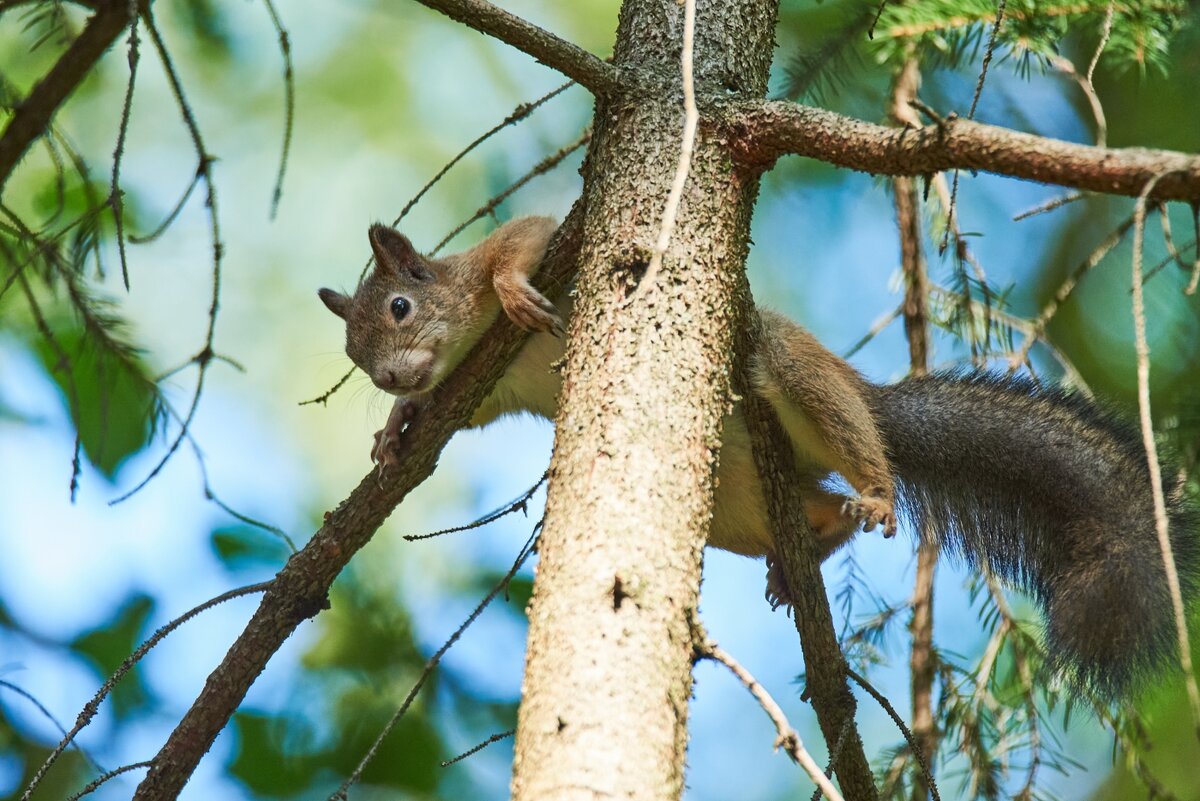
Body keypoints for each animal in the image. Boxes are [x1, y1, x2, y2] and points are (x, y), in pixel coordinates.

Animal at [319, 215, 1200, 695]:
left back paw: (877, 491)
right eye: (354, 354)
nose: (389, 375)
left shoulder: (519, 250)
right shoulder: (486, 390)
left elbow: (521, 242)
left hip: (795, 376)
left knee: (854, 441)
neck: (463, 342)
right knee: (814, 509)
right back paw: (808, 547)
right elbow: (448, 414)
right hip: (733, 509)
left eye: (400, 305)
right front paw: (397, 426)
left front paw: (509, 290)